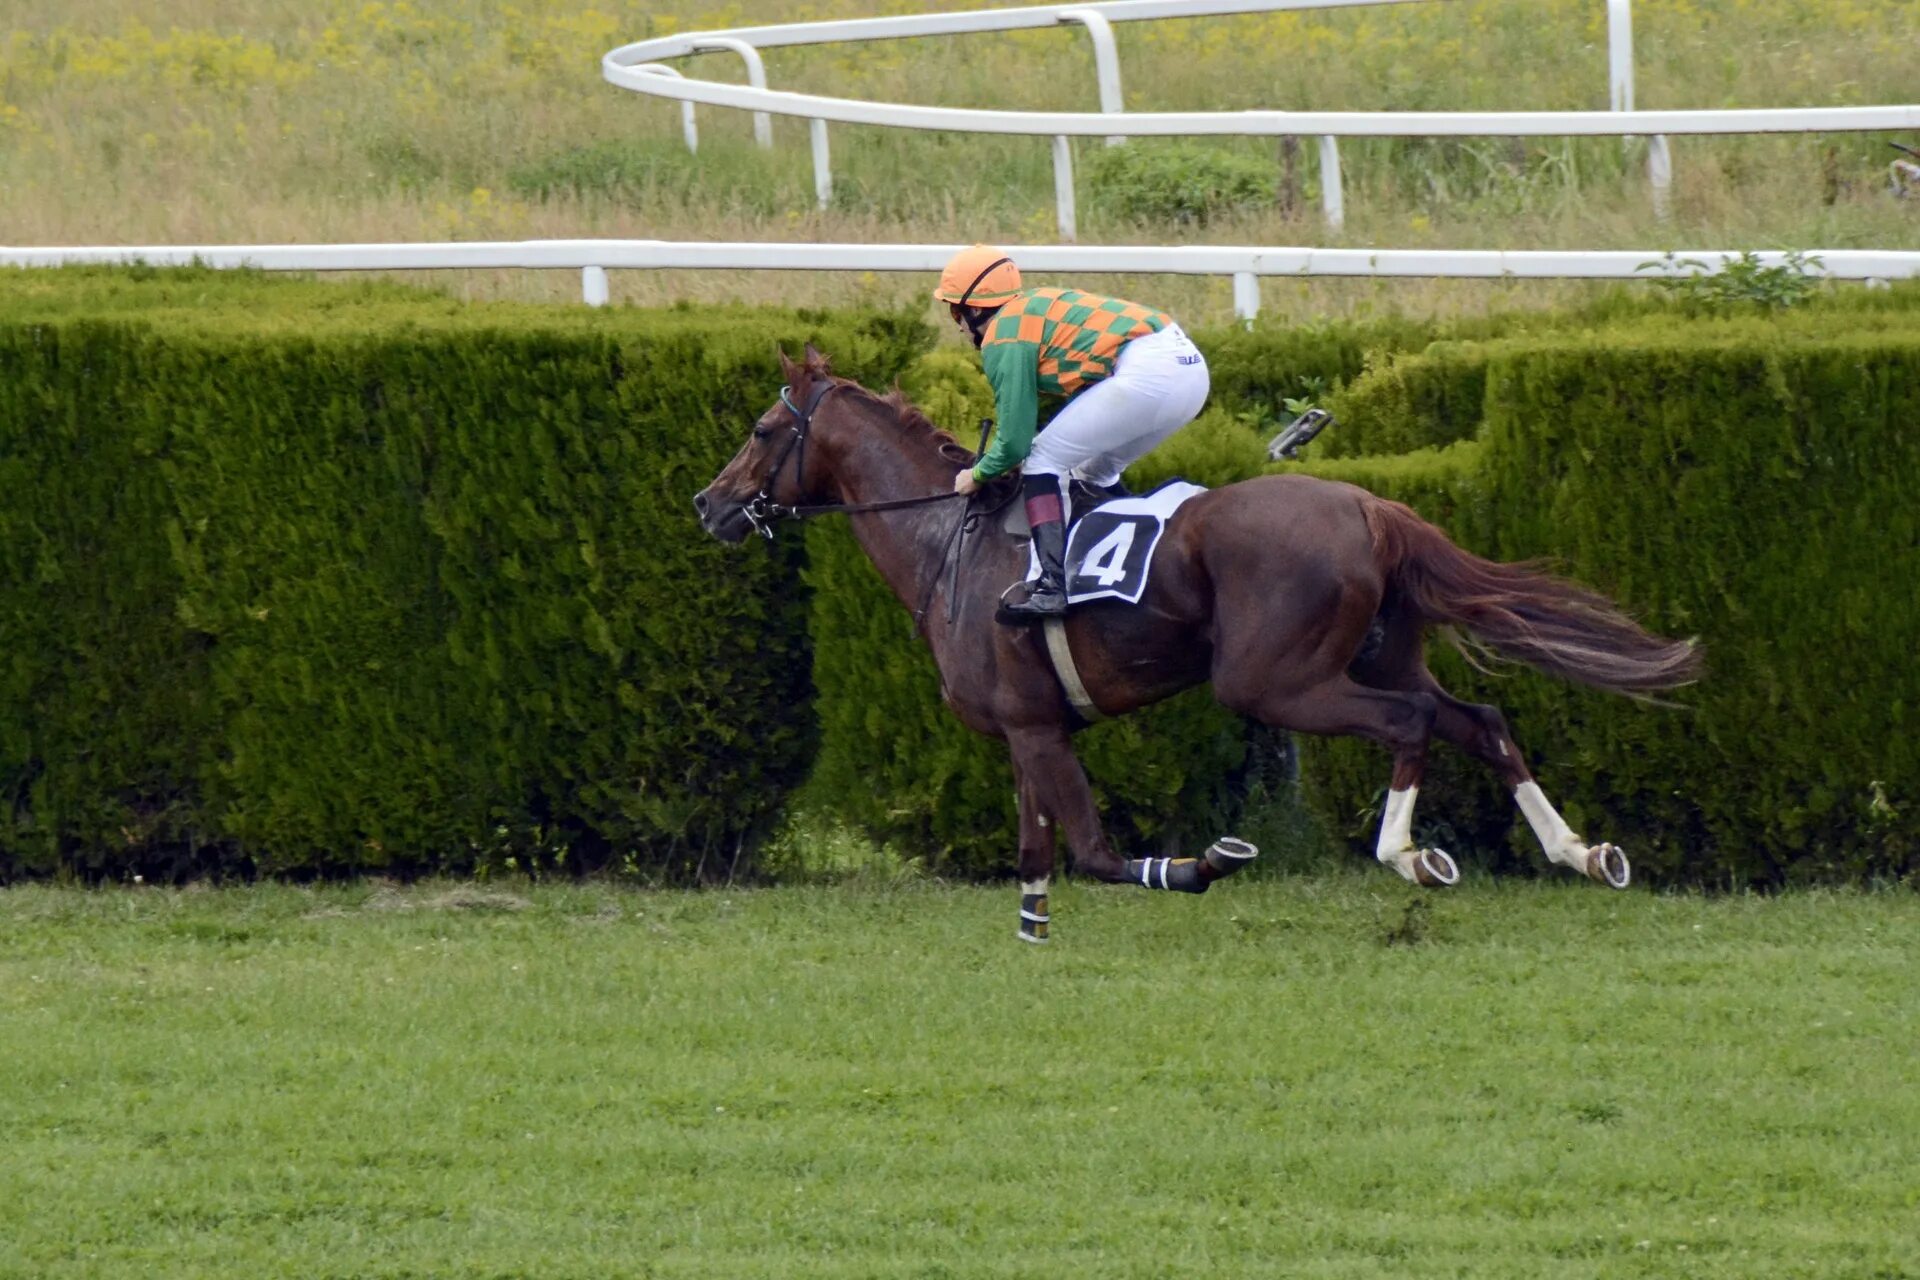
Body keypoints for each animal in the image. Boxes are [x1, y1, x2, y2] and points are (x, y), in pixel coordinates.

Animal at [691, 347, 1697, 940]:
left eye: (762, 429)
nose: (708, 504)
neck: (952, 543)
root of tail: (1370, 505)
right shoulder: (1025, 726)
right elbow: (1034, 853)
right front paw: (1032, 930)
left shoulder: (1036, 727)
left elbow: (1096, 854)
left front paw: (1206, 862)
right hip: (1377, 651)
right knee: (1477, 717)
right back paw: (1582, 853)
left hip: (1274, 682)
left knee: (1410, 722)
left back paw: (1411, 854)